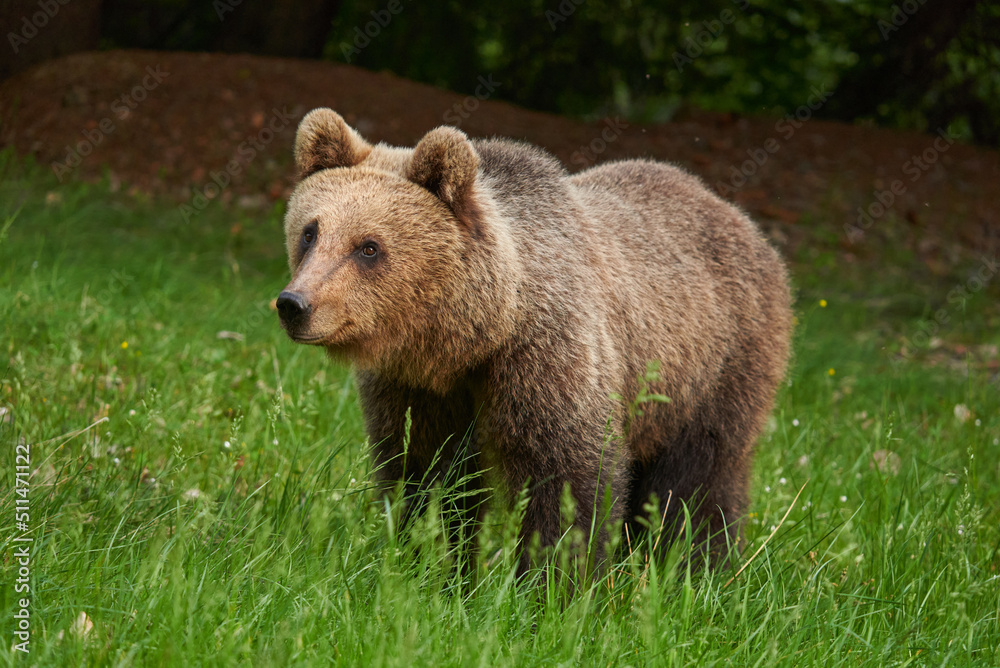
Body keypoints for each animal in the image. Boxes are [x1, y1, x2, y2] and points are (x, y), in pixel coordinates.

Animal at [277, 108, 793, 576]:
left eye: (369, 247)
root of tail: (742, 221)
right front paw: (427, 563)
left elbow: (566, 481)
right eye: (310, 231)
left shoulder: (546, 360)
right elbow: (423, 472)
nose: (294, 304)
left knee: (700, 477)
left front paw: (552, 585)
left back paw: (695, 568)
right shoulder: (415, 389)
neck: (472, 340)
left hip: (713, 365)